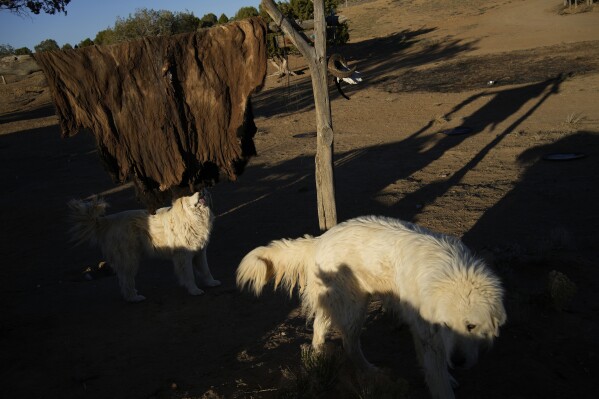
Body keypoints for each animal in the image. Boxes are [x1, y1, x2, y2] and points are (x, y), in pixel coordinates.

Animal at [68, 192, 220, 302]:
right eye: (190, 193)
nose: (200, 192)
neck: (192, 217)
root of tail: (108, 220)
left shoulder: (200, 252)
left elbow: (205, 270)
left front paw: (211, 282)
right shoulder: (183, 256)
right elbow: (189, 275)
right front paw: (194, 290)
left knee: (124, 279)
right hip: (129, 259)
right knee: (126, 280)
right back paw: (134, 298)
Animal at [237, 217, 508, 398]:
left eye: (471, 326)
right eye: (445, 326)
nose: (458, 361)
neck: (453, 274)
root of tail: (321, 239)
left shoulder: (423, 329)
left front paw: (449, 376)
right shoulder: (430, 334)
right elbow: (438, 377)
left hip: (340, 303)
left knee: (319, 327)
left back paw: (318, 356)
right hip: (355, 308)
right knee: (349, 344)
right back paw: (369, 371)